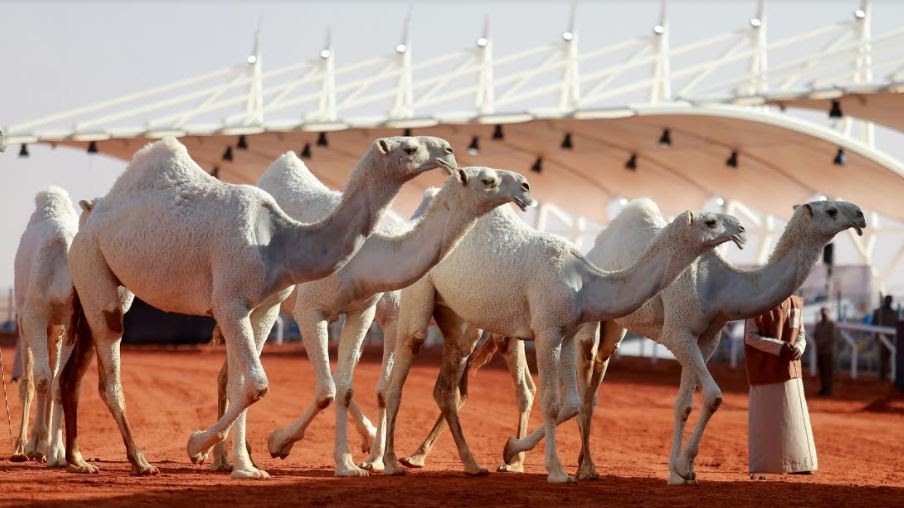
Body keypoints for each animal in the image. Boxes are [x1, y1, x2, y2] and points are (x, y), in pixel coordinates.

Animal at [62, 134, 456, 476]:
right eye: (409, 148)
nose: (449, 152)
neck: (279, 241)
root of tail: (92, 212)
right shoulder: (233, 302)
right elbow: (259, 383)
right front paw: (200, 445)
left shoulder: (264, 306)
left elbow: (246, 383)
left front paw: (245, 465)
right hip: (92, 262)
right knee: (109, 367)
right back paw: (139, 460)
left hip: (105, 280)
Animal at [378, 198, 744, 480]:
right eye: (711, 220)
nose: (740, 229)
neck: (584, 280)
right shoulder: (546, 329)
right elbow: (550, 402)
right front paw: (555, 471)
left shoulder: (567, 333)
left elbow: (570, 403)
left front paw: (511, 450)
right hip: (419, 290)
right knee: (404, 364)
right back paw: (392, 463)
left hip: (455, 316)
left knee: (447, 385)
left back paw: (469, 465)